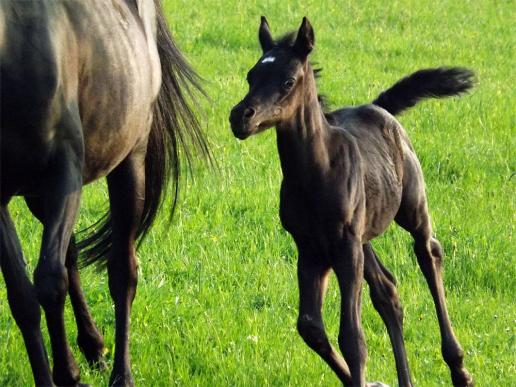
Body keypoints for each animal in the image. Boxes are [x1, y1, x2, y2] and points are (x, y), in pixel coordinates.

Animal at [2, 1, 208, 386]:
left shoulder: (64, 173)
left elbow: (50, 283)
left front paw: (67, 374)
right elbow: (23, 297)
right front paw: (58, 373)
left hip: (130, 162)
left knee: (122, 269)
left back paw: (120, 373)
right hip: (39, 196)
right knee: (69, 257)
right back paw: (92, 347)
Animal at [232, 15, 474, 387]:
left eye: (288, 81)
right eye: (251, 76)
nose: (240, 116)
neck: (315, 173)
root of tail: (378, 107)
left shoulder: (344, 246)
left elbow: (352, 337)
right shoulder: (311, 247)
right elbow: (310, 327)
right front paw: (368, 380)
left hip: (409, 209)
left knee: (428, 252)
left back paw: (459, 369)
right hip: (362, 238)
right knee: (388, 293)